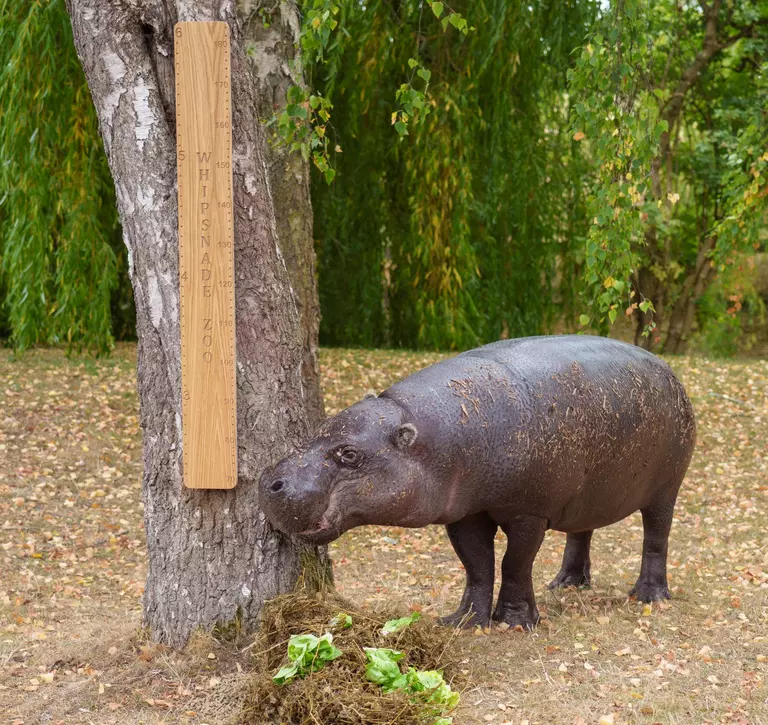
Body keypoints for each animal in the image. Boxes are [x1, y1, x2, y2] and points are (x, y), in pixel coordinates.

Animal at [259, 336, 696, 629]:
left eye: (349, 454)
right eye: (321, 427)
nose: (270, 481)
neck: (429, 438)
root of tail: (669, 370)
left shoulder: (528, 513)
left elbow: (513, 563)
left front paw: (516, 622)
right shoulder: (464, 514)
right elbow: (477, 564)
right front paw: (463, 620)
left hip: (666, 488)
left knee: (656, 537)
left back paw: (648, 596)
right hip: (585, 493)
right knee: (580, 532)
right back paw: (566, 586)